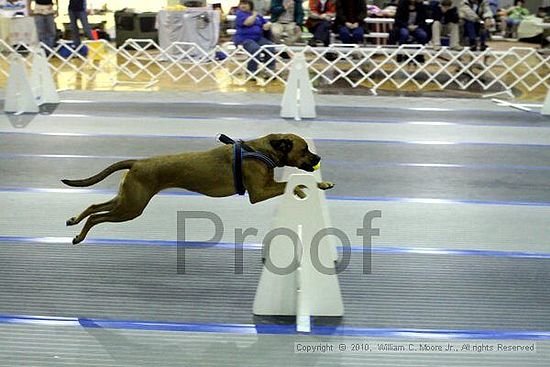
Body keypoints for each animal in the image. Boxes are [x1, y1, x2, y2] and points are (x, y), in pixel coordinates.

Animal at [62, 134, 334, 246]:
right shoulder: (259, 193)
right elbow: (292, 182)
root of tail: (137, 162)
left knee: (94, 206)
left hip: (126, 199)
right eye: (304, 150)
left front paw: (315, 186)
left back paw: (74, 220)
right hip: (131, 207)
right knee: (97, 217)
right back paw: (79, 236)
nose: (319, 157)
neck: (262, 150)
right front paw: (308, 187)